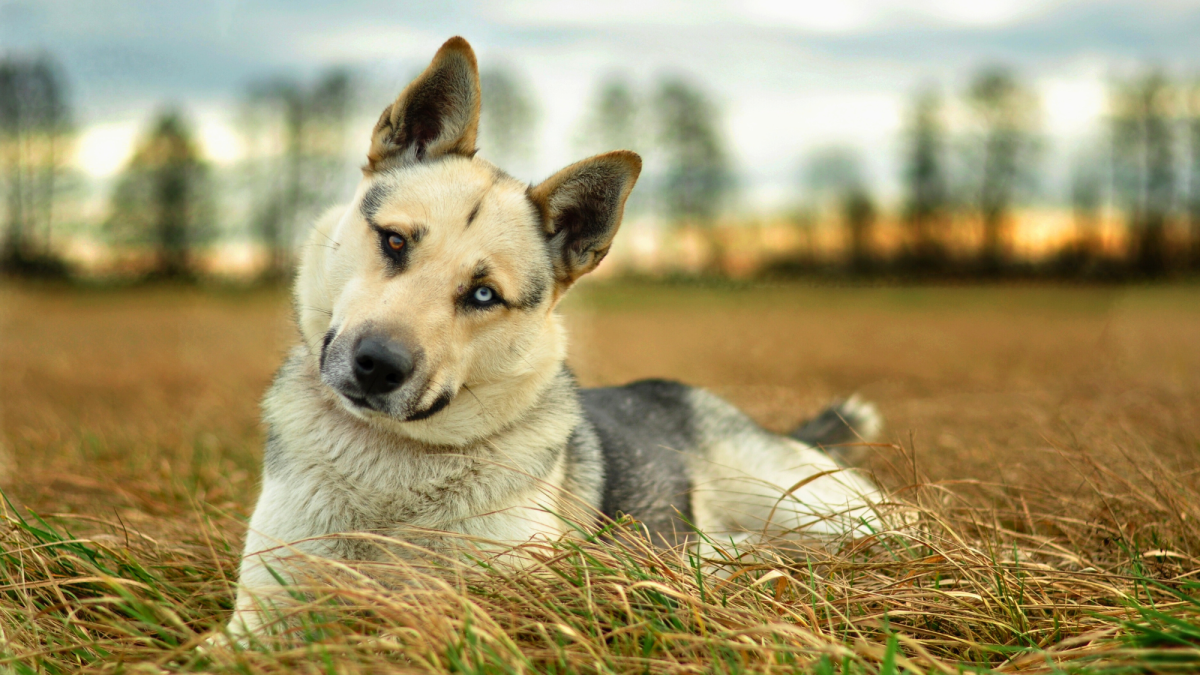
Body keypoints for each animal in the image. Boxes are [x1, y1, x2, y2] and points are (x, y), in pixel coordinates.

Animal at [226, 35, 883, 634]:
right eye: (393, 240)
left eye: (484, 295)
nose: (379, 365)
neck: (393, 459)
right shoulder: (259, 616)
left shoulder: (510, 603)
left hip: (802, 506)